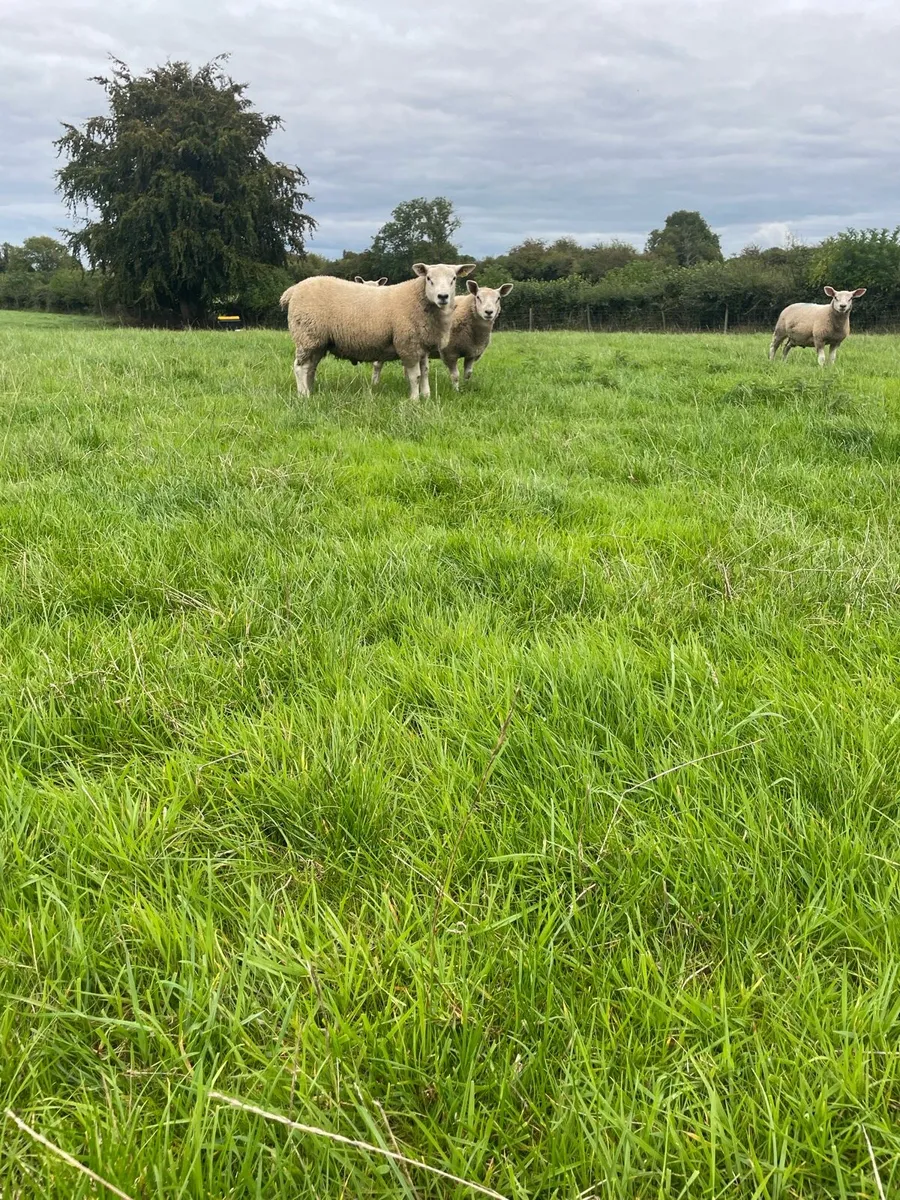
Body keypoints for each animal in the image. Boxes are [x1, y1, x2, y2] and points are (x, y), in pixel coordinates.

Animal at [280, 263, 475, 399]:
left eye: (454, 279)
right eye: (429, 278)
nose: (443, 297)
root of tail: (293, 290)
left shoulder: (422, 345)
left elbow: (425, 372)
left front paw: (426, 397)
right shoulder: (407, 344)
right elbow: (415, 376)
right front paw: (414, 400)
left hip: (318, 341)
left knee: (310, 368)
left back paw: (310, 390)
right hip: (307, 335)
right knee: (300, 368)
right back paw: (303, 395)